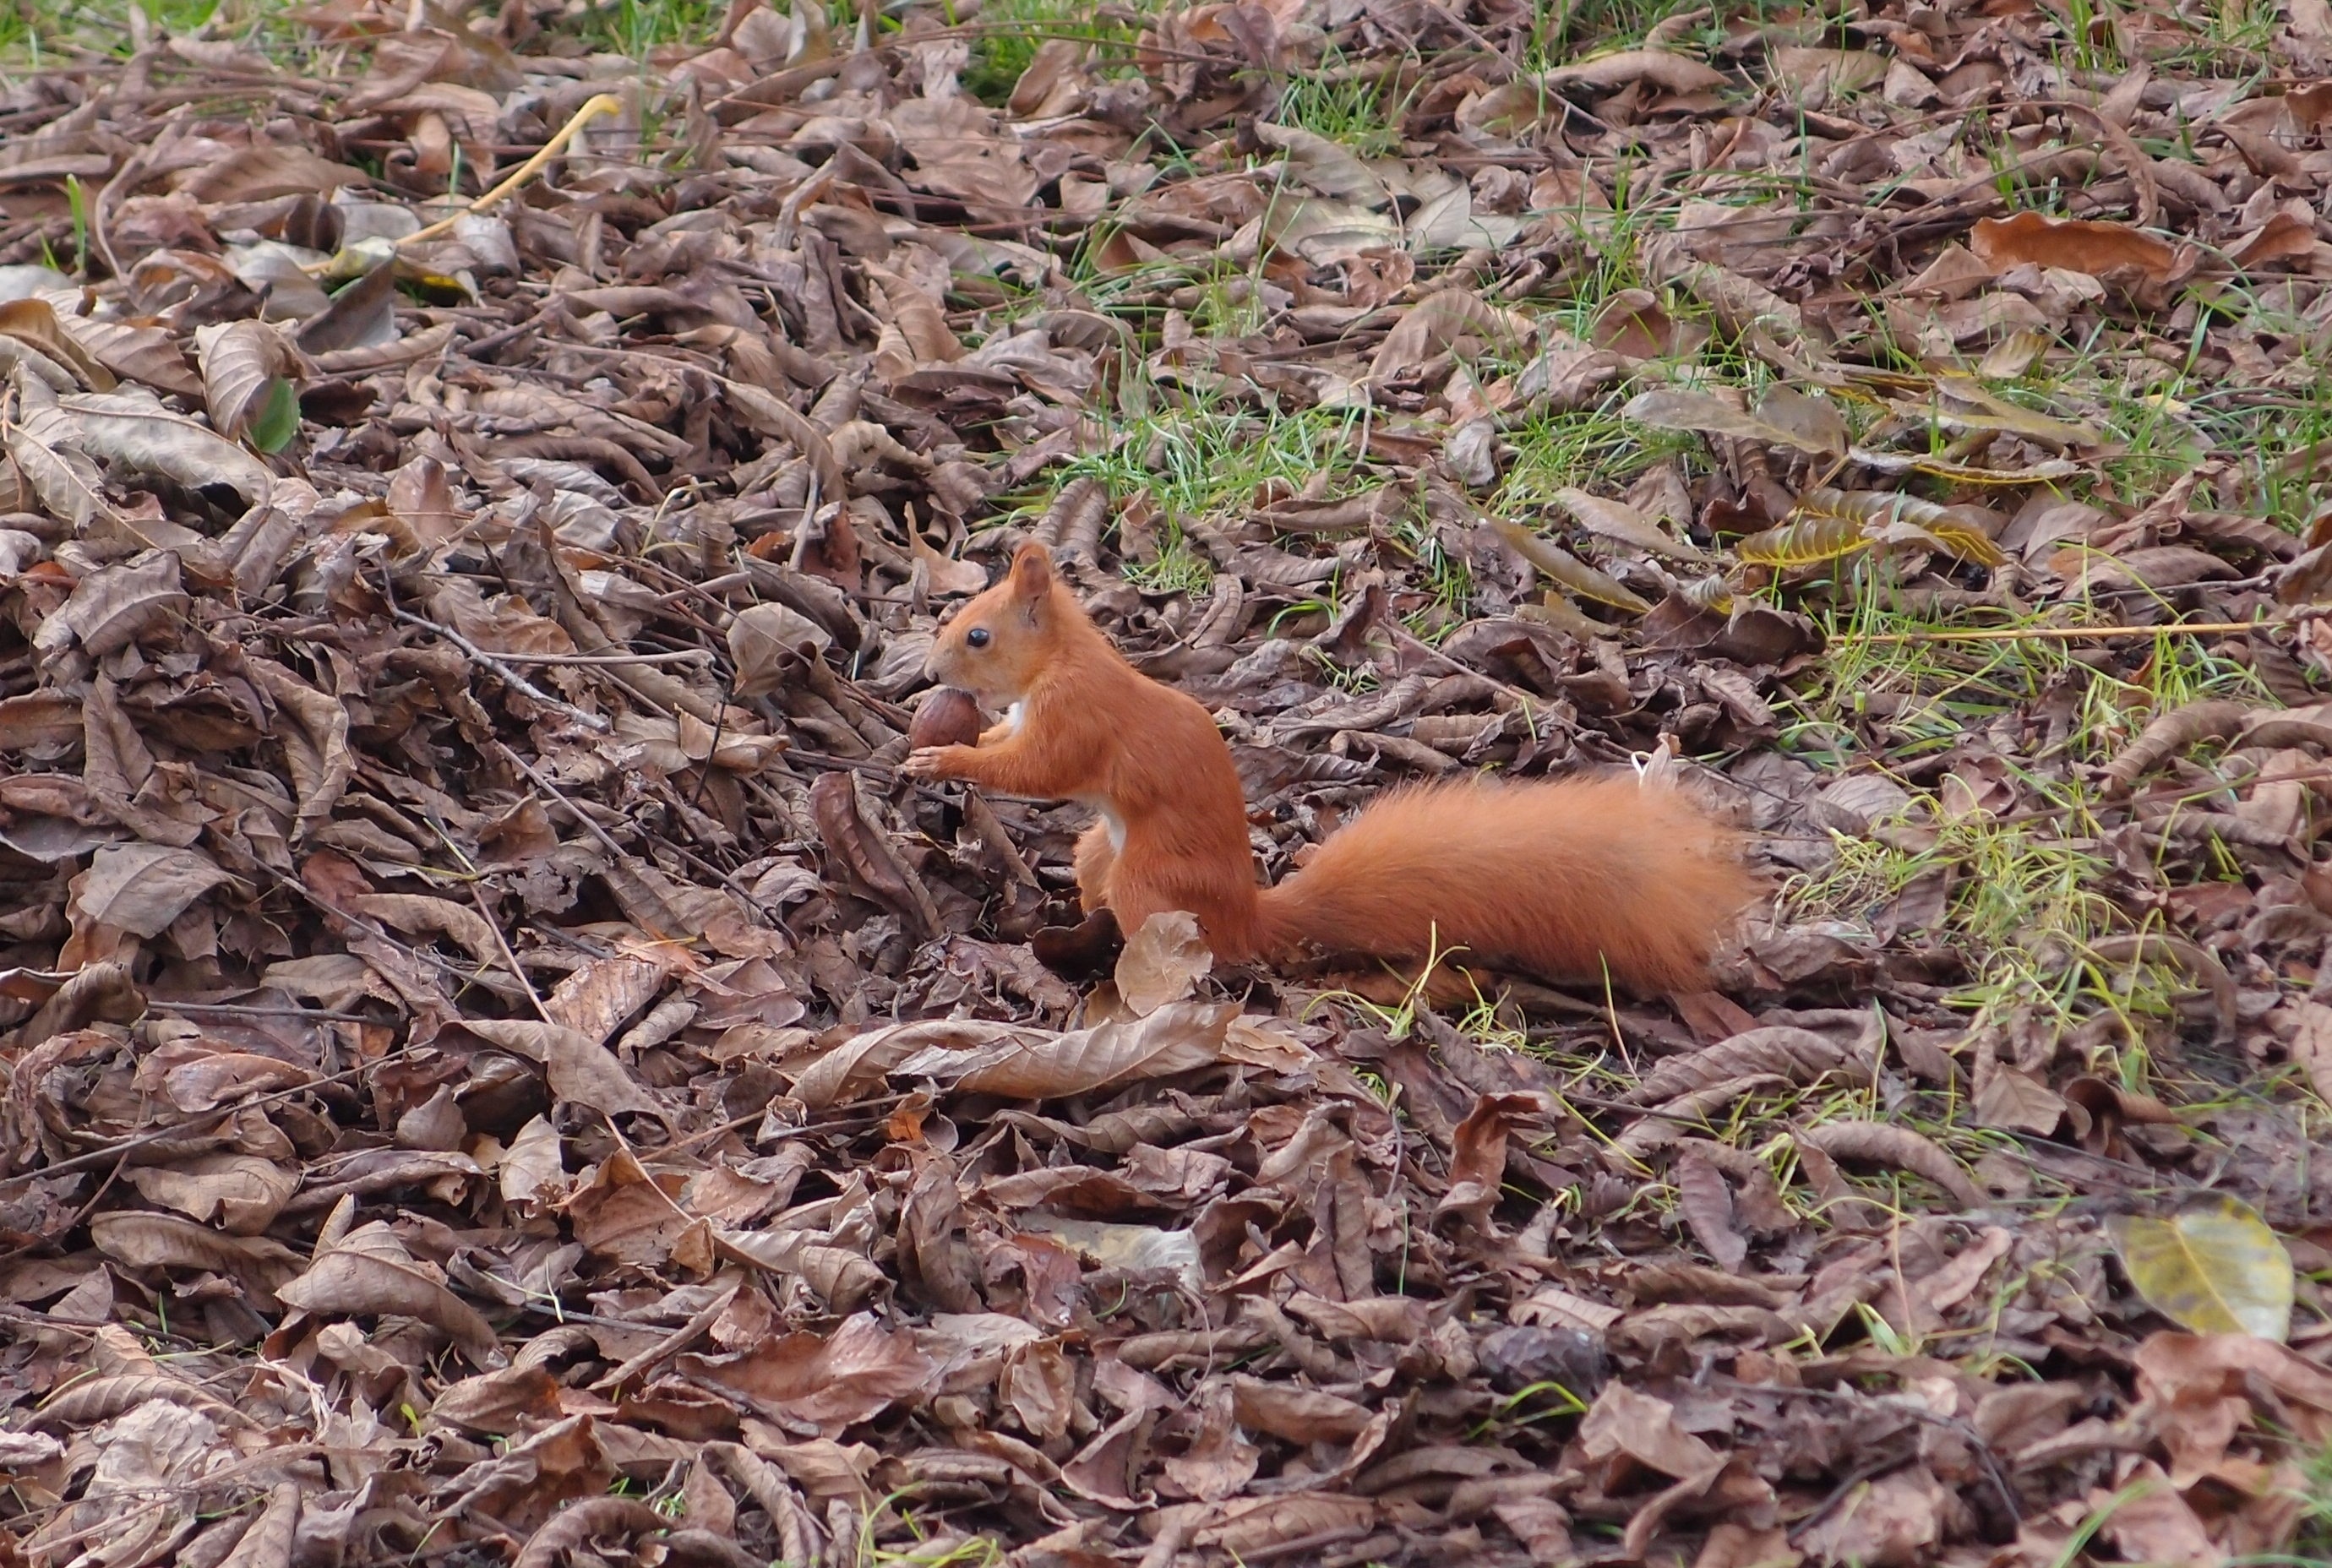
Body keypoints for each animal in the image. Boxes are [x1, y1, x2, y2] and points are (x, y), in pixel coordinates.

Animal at [900, 546, 1753, 999]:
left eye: (978, 634)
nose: (931, 671)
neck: (1061, 659)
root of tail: (1249, 914)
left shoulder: (1079, 717)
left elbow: (1041, 769)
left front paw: (946, 755)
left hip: (1153, 879)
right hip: (1101, 854)